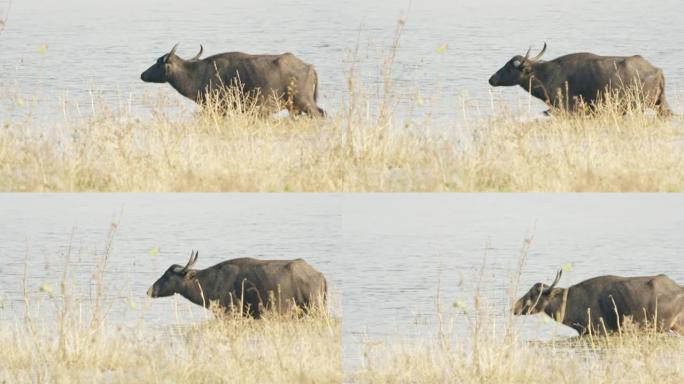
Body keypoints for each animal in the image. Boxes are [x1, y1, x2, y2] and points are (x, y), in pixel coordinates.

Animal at [140, 44, 326, 118]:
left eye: (158, 62)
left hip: (305, 102)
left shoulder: (219, 108)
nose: (142, 74)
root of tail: (309, 66)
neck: (197, 73)